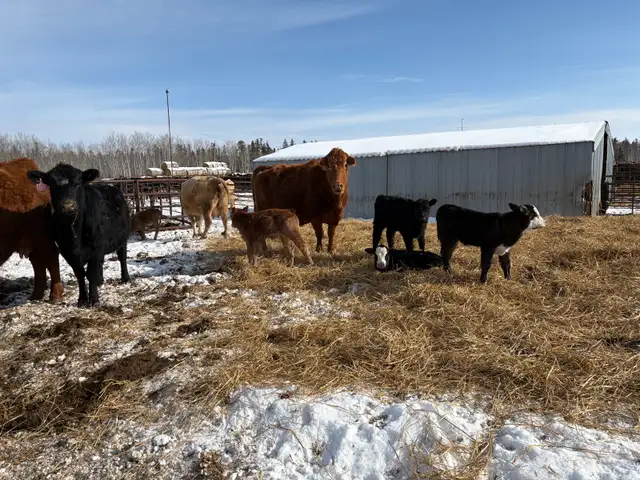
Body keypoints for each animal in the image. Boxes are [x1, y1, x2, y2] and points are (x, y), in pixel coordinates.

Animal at [27, 163, 131, 308]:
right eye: (52, 185)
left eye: (77, 183)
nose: (68, 206)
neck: (74, 232)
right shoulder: (67, 251)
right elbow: (80, 274)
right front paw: (82, 299)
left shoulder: (96, 247)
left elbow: (91, 273)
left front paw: (94, 300)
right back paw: (100, 281)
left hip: (122, 238)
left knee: (122, 257)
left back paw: (125, 278)